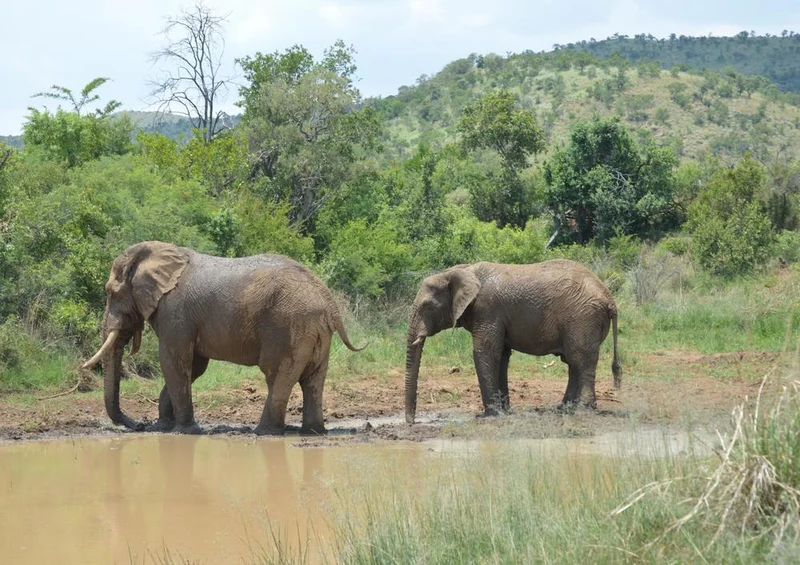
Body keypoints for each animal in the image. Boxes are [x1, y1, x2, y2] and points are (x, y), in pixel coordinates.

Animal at [82, 241, 362, 435]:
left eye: (111, 292)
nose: (139, 425)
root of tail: (328, 299)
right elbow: (194, 366)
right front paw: (163, 427)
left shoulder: (175, 312)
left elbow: (174, 362)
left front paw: (184, 431)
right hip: (315, 331)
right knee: (312, 379)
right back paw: (313, 431)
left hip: (289, 326)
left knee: (276, 374)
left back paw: (264, 432)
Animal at [404, 259, 621, 424]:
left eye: (428, 307)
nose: (411, 422)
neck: (462, 270)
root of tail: (610, 298)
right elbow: (501, 356)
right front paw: (505, 412)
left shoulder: (488, 309)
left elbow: (485, 352)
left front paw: (491, 415)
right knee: (573, 362)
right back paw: (564, 408)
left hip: (583, 318)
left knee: (581, 360)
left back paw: (582, 410)